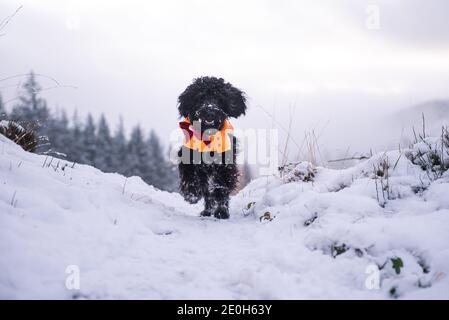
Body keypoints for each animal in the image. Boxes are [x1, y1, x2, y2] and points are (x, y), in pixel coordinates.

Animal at [177, 76, 247, 219]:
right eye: (200, 97)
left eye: (219, 98)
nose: (210, 112)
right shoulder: (187, 155)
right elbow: (189, 174)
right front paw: (191, 194)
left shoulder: (226, 166)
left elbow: (221, 187)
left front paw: (221, 211)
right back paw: (206, 210)